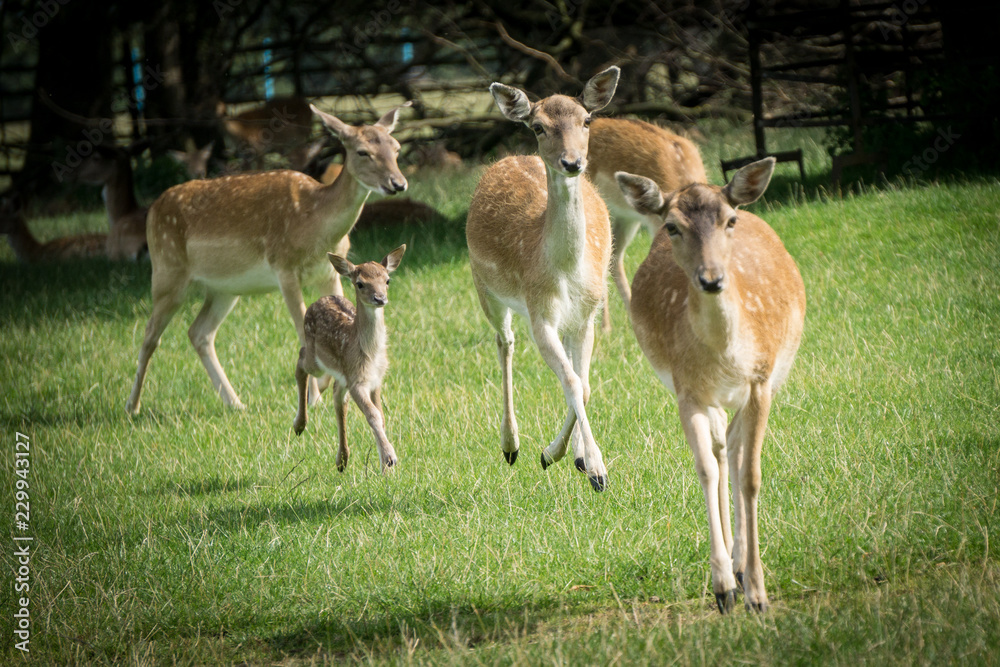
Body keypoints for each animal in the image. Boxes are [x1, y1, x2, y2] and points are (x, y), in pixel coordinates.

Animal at [125, 103, 409, 416]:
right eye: (362, 151)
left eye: (396, 147)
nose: (398, 183)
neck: (315, 221)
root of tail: (152, 210)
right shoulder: (283, 266)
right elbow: (301, 330)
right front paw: (315, 396)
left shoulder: (329, 272)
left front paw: (328, 384)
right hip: (167, 271)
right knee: (150, 334)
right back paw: (132, 406)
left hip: (224, 288)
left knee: (199, 332)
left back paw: (236, 403)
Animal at [292, 245, 406, 472]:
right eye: (360, 283)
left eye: (387, 280)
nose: (380, 298)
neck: (370, 354)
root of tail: (318, 300)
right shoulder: (356, 380)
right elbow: (373, 415)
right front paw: (389, 458)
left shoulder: (376, 380)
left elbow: (381, 416)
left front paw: (386, 466)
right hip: (316, 359)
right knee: (301, 359)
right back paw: (299, 425)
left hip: (341, 375)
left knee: (337, 397)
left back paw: (342, 460)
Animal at [466, 67, 619, 492]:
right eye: (538, 127)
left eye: (587, 120)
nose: (572, 162)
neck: (563, 271)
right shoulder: (539, 313)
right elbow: (573, 382)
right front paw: (596, 470)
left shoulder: (585, 314)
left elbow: (582, 383)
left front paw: (572, 458)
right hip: (485, 288)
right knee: (505, 342)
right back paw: (510, 445)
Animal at [615, 157, 806, 613]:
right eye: (672, 226)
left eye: (729, 220)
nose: (712, 279)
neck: (726, 357)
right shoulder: (687, 392)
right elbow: (704, 468)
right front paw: (723, 588)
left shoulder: (761, 383)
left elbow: (751, 475)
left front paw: (758, 593)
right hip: (710, 398)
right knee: (722, 449)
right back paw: (732, 570)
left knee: (733, 449)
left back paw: (741, 566)